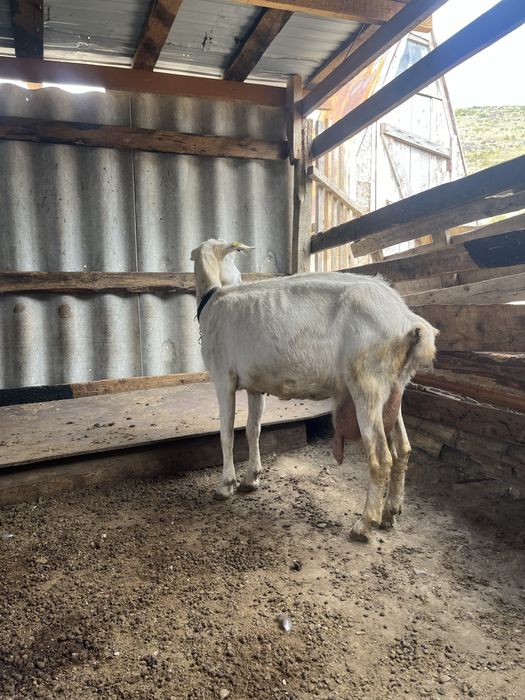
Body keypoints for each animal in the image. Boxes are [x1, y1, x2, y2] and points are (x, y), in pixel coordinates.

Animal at [191, 239, 438, 542]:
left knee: (381, 458)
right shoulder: (254, 386)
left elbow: (226, 434)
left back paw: (364, 523)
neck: (214, 298)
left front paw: (225, 486)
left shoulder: (223, 378)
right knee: (402, 448)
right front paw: (251, 479)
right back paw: (390, 512)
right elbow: (252, 430)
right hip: (393, 387)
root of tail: (409, 322)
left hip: (367, 383)